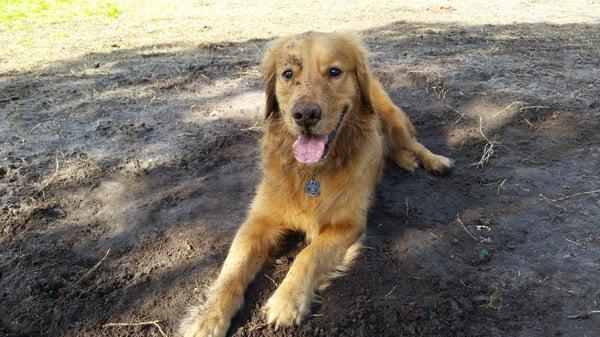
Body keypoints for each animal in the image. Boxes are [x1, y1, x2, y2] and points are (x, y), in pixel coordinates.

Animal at [180, 31, 452, 336]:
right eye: (288, 74)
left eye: (334, 71)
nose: (306, 115)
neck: (311, 173)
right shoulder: (258, 221)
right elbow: (232, 269)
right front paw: (208, 315)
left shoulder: (347, 224)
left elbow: (307, 255)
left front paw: (288, 299)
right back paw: (405, 160)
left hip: (392, 117)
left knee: (412, 142)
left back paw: (432, 161)